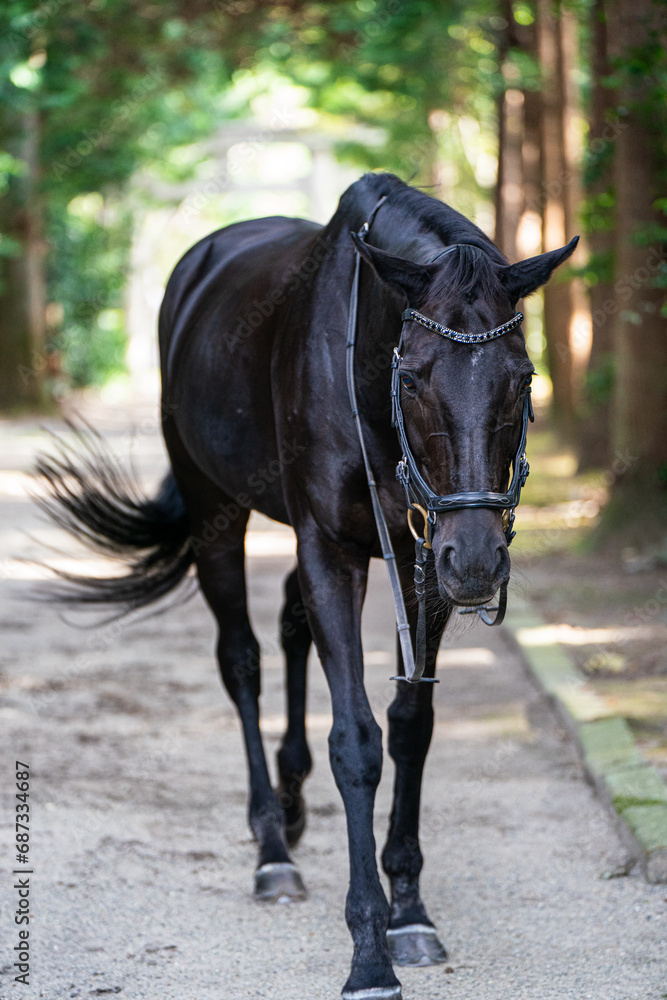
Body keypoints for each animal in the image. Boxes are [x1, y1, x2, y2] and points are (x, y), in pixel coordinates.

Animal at [36, 172, 577, 1000]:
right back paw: (272, 848)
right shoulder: (334, 548)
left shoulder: (421, 554)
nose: (479, 563)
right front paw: (368, 954)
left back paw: (291, 807)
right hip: (217, 510)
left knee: (291, 625)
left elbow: (410, 725)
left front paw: (409, 912)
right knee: (242, 659)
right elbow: (355, 740)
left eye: (521, 378)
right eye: (411, 376)